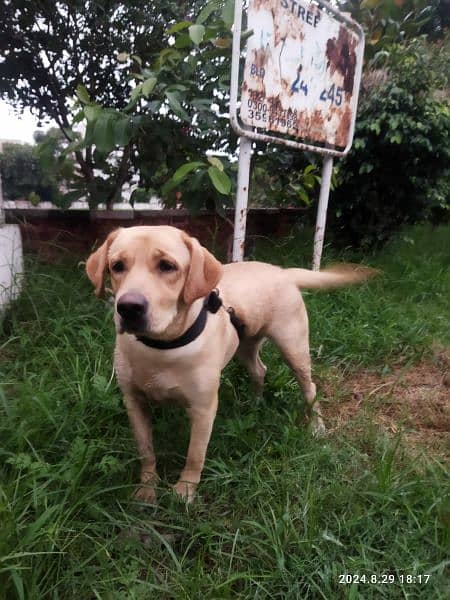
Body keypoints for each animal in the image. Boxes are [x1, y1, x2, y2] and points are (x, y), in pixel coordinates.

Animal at [86, 227, 374, 504]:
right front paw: (147, 488)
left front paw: (185, 491)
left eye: (167, 266)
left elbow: (195, 455)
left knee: (309, 387)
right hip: (245, 346)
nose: (128, 308)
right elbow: (146, 451)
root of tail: (282, 271)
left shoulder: (203, 408)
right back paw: (255, 402)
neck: (160, 347)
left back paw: (316, 426)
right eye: (117, 266)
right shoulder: (134, 402)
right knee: (260, 370)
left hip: (294, 348)